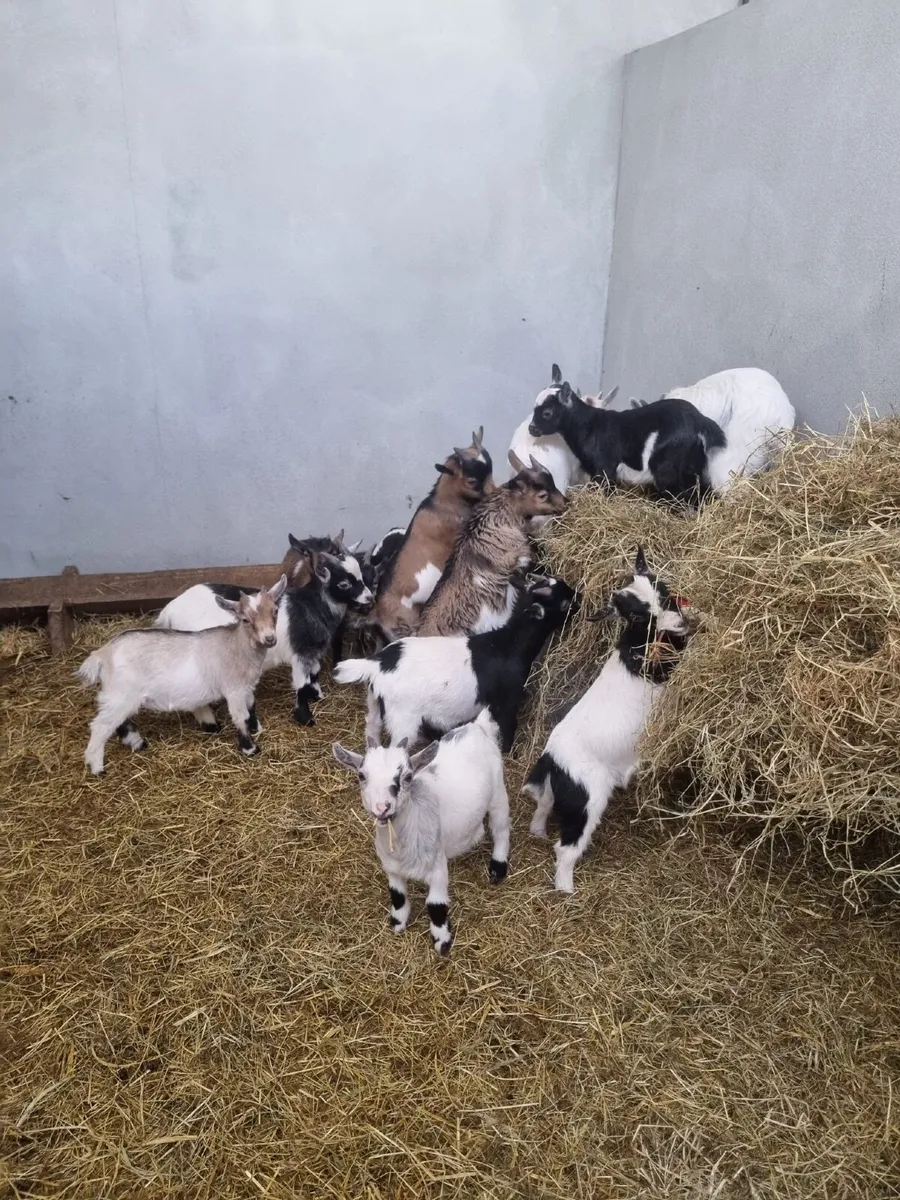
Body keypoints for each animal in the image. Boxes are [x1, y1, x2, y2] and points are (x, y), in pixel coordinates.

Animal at [78, 576, 287, 774]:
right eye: (245, 619)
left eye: (275, 611)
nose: (269, 638)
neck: (237, 645)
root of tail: (103, 654)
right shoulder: (233, 689)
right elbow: (240, 716)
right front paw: (250, 748)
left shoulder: (247, 686)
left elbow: (251, 706)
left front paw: (256, 729)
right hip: (121, 694)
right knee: (100, 726)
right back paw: (97, 767)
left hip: (122, 696)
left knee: (119, 721)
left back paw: (137, 742)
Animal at [333, 709, 510, 955]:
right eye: (361, 775)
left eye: (408, 777)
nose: (382, 807)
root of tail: (476, 726)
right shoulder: (391, 867)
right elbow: (397, 895)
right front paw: (398, 923)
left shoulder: (437, 868)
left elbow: (435, 905)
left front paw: (442, 942)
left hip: (498, 793)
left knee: (501, 828)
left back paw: (498, 867)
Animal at [335, 575, 578, 753]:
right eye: (564, 603)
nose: (580, 597)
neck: (509, 645)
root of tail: (377, 665)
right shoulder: (507, 701)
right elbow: (509, 727)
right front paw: (508, 752)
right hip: (403, 719)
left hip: (375, 704)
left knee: (372, 729)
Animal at [524, 548, 692, 893]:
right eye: (638, 616)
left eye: (662, 590)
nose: (679, 623)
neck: (637, 646)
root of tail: (552, 760)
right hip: (588, 799)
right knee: (567, 846)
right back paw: (567, 890)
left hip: (555, 794)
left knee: (543, 807)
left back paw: (538, 831)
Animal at [528, 374, 726, 505]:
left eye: (547, 413)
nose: (532, 429)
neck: (589, 426)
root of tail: (700, 421)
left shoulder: (605, 467)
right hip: (693, 465)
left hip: (667, 466)